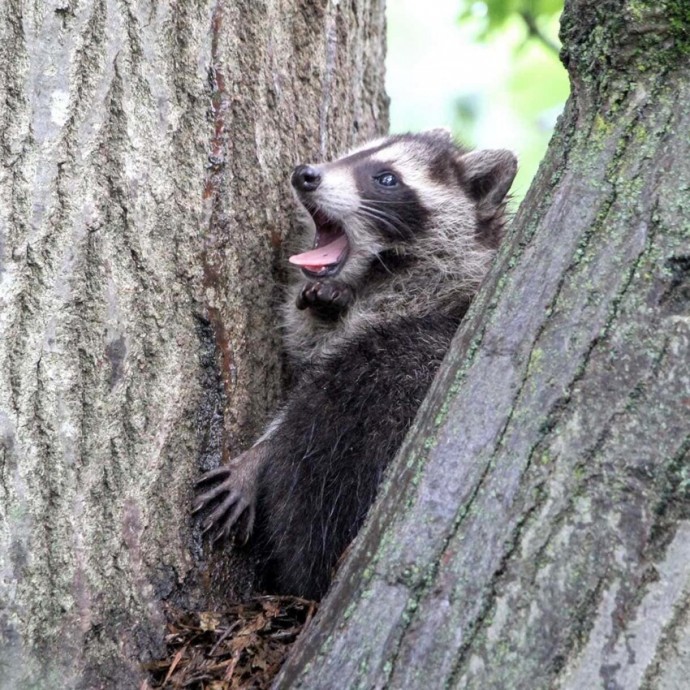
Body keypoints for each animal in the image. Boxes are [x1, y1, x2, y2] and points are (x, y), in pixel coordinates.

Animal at [191, 129, 512, 596]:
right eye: (348, 156)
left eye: (386, 178)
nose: (305, 174)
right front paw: (322, 304)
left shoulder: (402, 325)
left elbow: (296, 405)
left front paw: (257, 457)